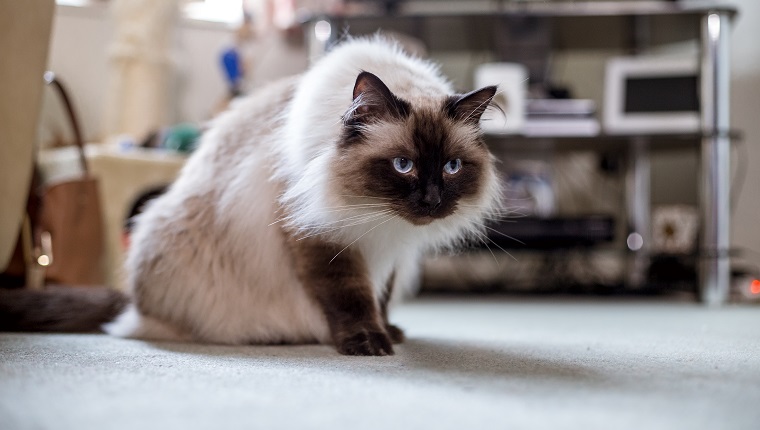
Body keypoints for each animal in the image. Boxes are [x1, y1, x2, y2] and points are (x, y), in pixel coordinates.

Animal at [4, 37, 504, 354]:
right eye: (404, 165)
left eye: (452, 167)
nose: (432, 200)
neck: (378, 221)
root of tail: (131, 302)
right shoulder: (323, 239)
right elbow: (350, 297)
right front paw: (368, 343)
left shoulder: (391, 252)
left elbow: (377, 297)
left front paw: (386, 331)